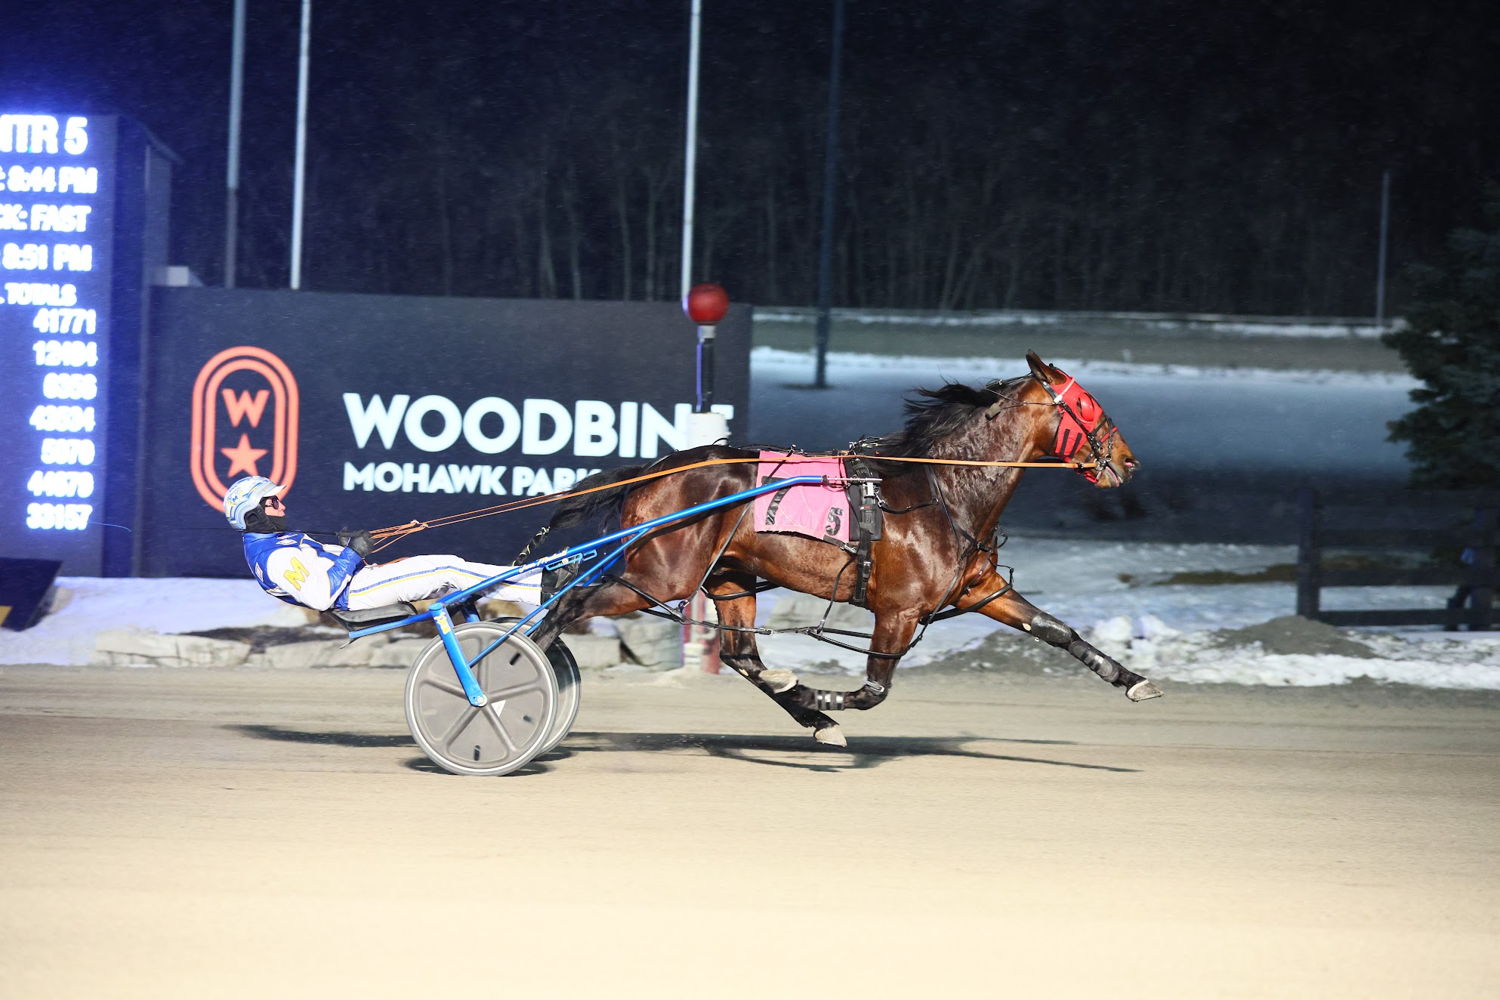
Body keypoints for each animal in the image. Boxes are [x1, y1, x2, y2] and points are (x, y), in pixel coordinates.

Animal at [534, 355, 1164, 746]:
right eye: (1088, 405)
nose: (1129, 460)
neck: (943, 488)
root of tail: (657, 468)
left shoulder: (981, 589)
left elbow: (1057, 630)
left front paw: (1135, 680)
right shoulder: (899, 609)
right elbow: (873, 690)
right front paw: (820, 693)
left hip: (729, 577)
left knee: (742, 656)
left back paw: (806, 711)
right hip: (663, 576)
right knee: (567, 605)